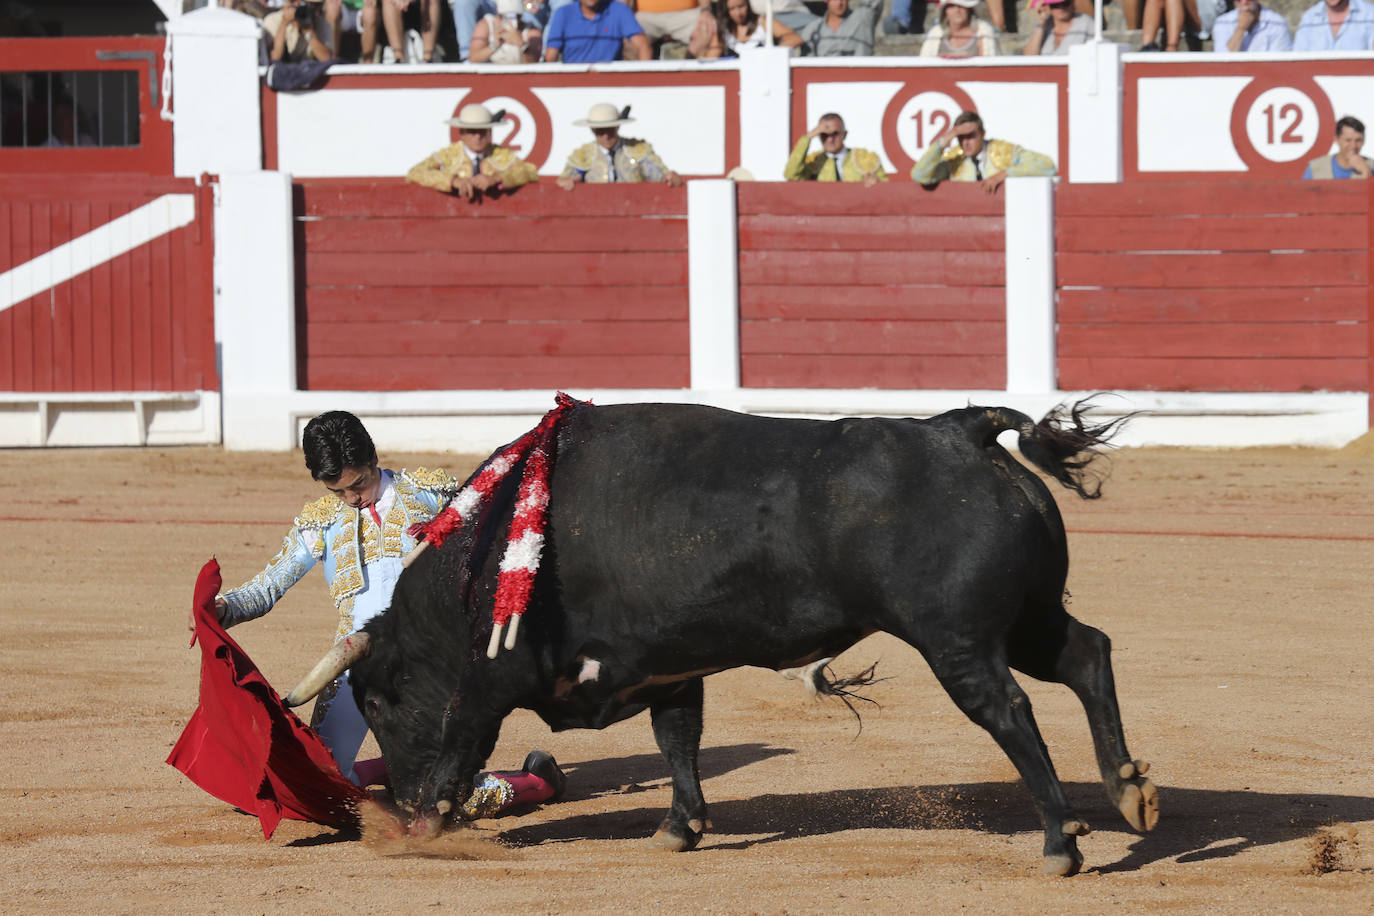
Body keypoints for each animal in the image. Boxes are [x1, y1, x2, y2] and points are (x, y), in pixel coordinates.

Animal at [338, 398, 1154, 873]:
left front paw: (421, 829)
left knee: (1010, 711)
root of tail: (960, 429)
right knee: (1088, 654)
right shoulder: (669, 670)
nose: (396, 800)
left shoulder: (488, 681)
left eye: (374, 706)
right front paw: (680, 828)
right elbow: (678, 740)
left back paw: (1060, 842)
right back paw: (1129, 791)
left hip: (958, 640)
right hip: (1027, 621)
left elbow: (458, 749)